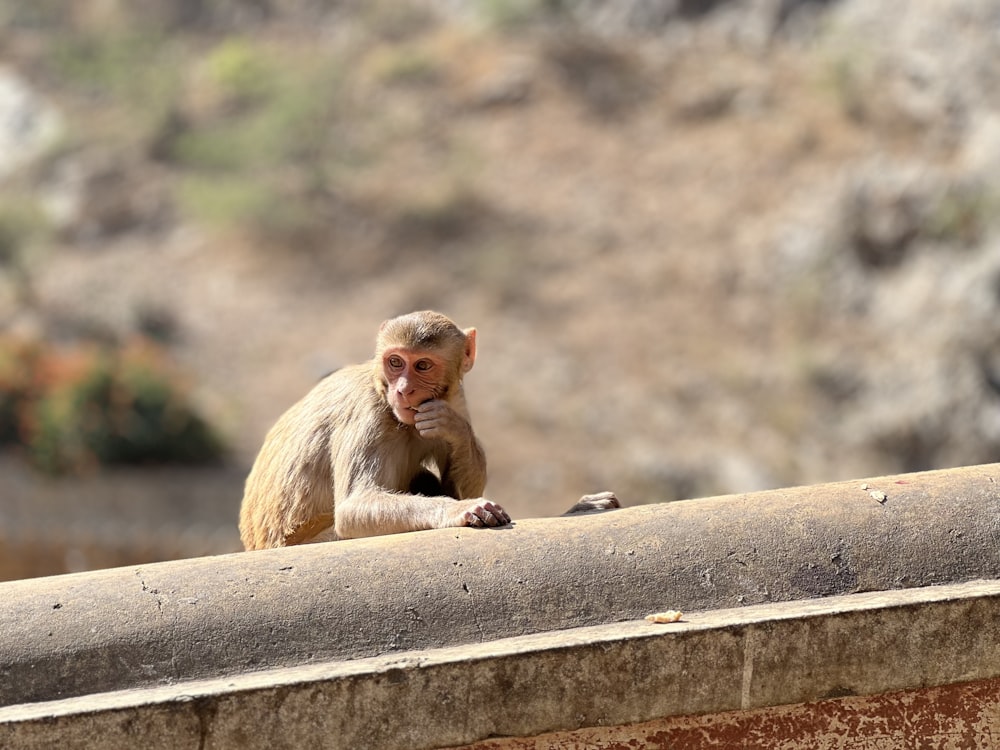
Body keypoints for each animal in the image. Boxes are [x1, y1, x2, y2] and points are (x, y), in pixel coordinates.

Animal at [240, 312, 616, 552]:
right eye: (395, 362)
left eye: (422, 365)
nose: (403, 390)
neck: (384, 394)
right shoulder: (367, 415)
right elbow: (353, 508)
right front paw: (459, 511)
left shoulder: (455, 397)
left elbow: (454, 473)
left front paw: (454, 429)